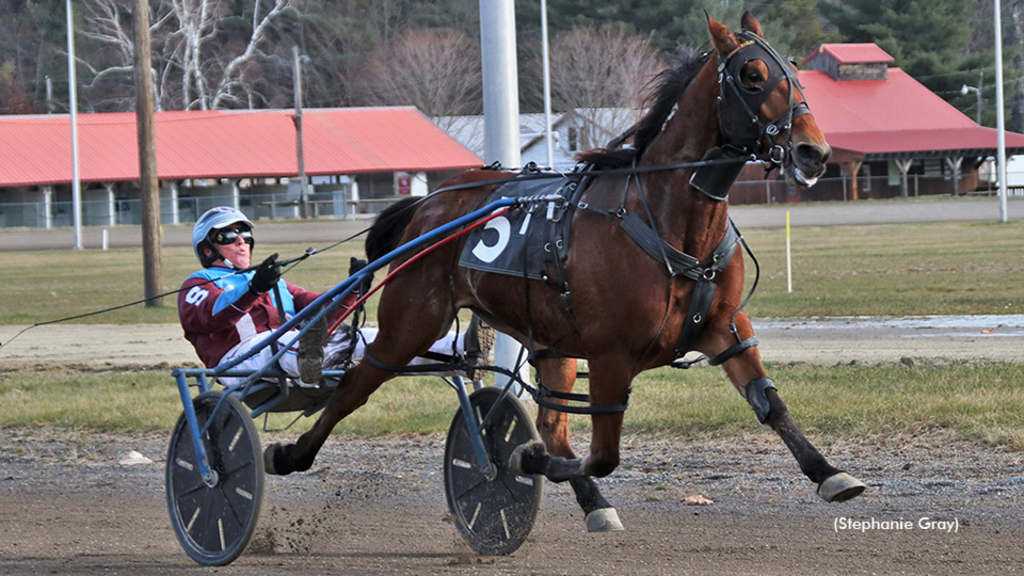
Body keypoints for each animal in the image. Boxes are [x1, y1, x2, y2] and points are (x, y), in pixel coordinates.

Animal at [264, 13, 864, 532]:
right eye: (752, 76)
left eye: (794, 70)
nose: (813, 152)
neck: (666, 219)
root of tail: (431, 202)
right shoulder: (611, 354)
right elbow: (603, 453)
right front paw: (523, 461)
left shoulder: (725, 329)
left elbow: (769, 402)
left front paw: (831, 474)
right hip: (410, 324)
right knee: (355, 387)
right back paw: (289, 454)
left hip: (549, 338)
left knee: (552, 423)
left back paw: (591, 503)